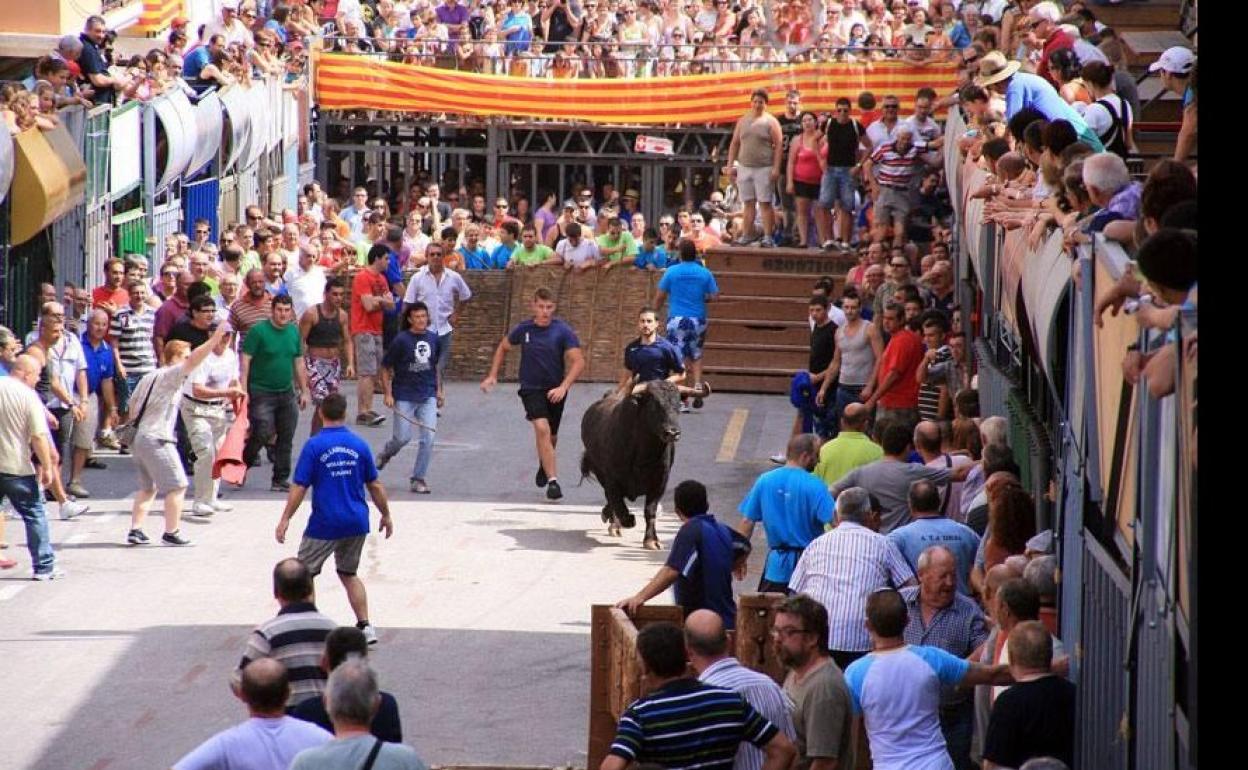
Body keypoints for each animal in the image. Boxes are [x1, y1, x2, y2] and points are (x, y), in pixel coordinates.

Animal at [576, 379, 683, 546]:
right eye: (654, 405)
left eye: (678, 405)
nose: (672, 433)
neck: (643, 455)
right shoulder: (611, 479)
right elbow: (618, 504)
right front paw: (626, 520)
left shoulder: (660, 482)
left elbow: (650, 510)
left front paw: (651, 540)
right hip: (600, 472)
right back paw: (614, 524)